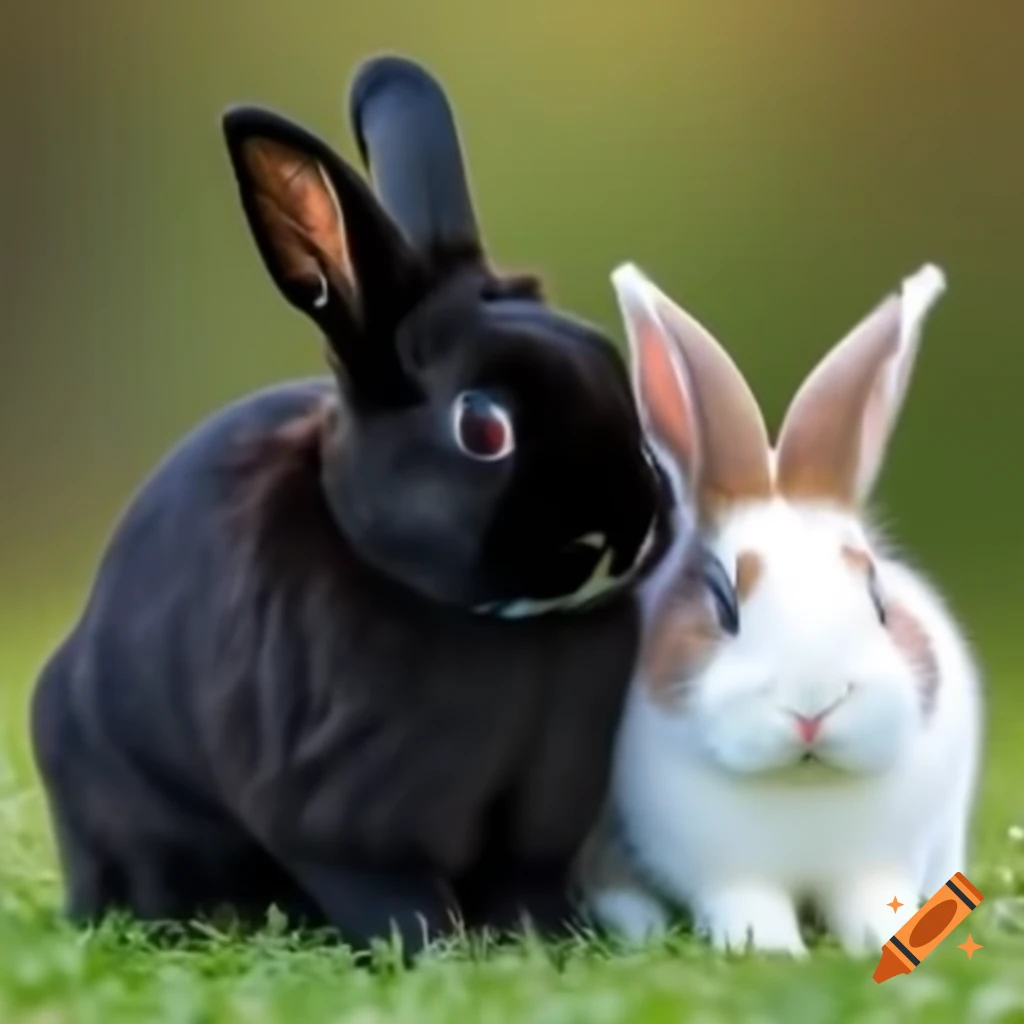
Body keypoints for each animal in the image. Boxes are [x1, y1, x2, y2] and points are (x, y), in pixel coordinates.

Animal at [30, 56, 671, 955]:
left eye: (616, 380)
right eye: (483, 428)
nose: (624, 529)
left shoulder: (542, 813)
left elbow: (526, 886)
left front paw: (546, 943)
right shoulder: (343, 819)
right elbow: (391, 894)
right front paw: (433, 954)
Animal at [579, 261, 983, 958]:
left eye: (878, 599)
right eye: (724, 604)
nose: (813, 705)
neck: (802, 786)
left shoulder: (875, 864)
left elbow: (874, 902)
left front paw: (885, 940)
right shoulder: (726, 873)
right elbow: (749, 906)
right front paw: (769, 951)